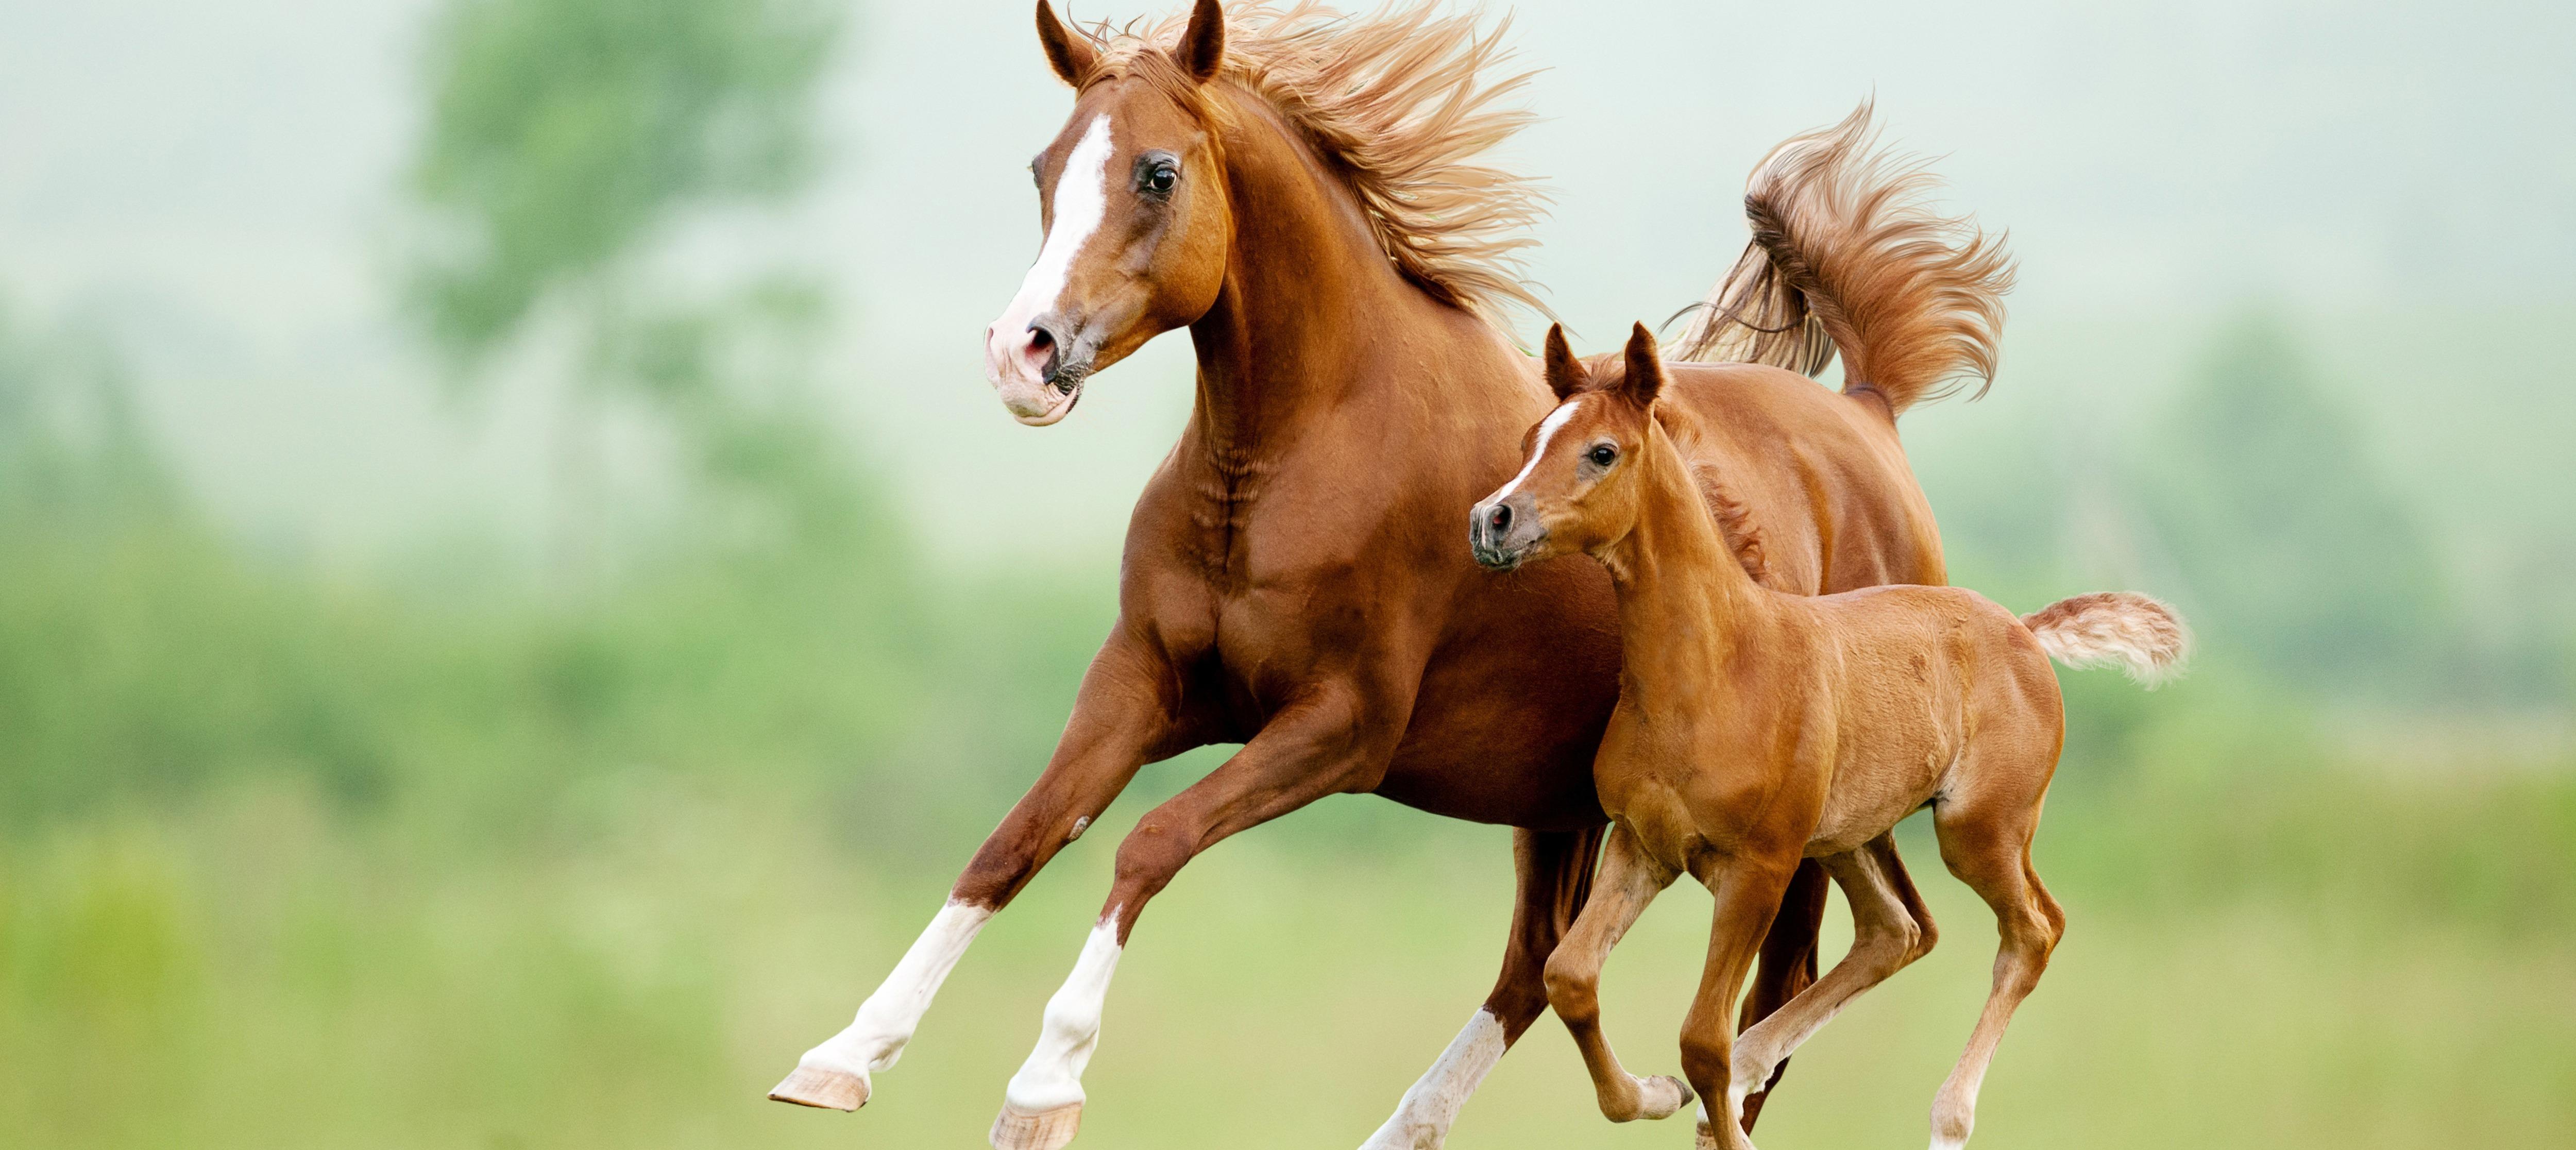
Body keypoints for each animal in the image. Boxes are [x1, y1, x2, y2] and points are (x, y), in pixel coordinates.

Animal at [769, 4, 2012, 1147]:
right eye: (1043, 168)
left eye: (1158, 173)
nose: (1021, 355)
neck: (1291, 456)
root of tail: (1869, 417)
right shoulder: (1144, 685)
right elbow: (1016, 840)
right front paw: (841, 1057)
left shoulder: (1339, 727)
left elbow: (1149, 842)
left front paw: (1044, 1087)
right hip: (1558, 801)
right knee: (1537, 968)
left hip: (1796, 836)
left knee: (1780, 996)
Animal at [1468, 323, 2189, 1150]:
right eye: (1532, 437)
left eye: (1601, 451)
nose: (1492, 520)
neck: (1716, 670)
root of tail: (2023, 630)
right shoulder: (1643, 845)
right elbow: (1571, 978)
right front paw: (1652, 1094)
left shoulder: (1760, 868)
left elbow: (1701, 1039)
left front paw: (1706, 1108)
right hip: (1850, 836)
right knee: (1895, 931)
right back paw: (1757, 1066)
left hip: (1977, 830)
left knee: (2033, 931)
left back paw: (1948, 1119)